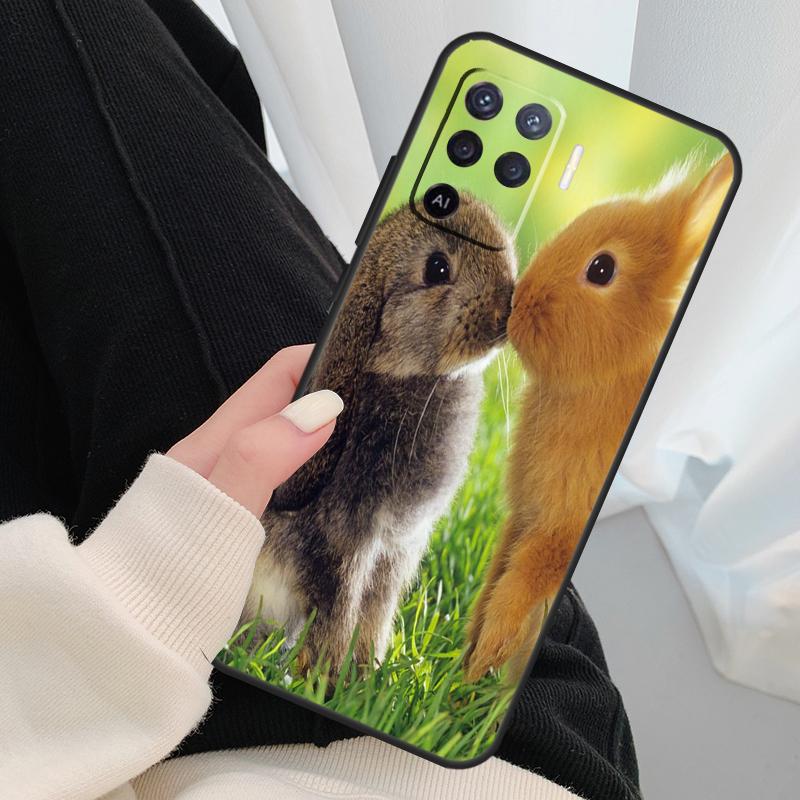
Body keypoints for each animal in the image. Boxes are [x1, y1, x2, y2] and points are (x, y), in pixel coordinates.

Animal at [242, 194, 517, 671]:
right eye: (437, 268)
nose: (509, 307)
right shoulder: (345, 543)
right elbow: (340, 611)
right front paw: (331, 675)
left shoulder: (395, 550)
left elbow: (374, 614)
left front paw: (366, 672)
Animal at [465, 153, 734, 682]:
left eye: (602, 268)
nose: (516, 304)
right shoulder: (523, 518)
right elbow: (495, 579)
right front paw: (468, 665)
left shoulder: (556, 536)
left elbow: (515, 592)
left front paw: (481, 663)